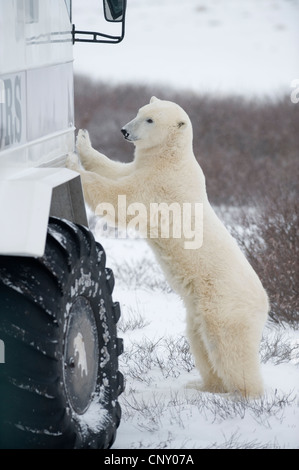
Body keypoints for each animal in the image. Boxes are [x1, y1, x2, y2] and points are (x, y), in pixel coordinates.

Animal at [67, 97, 270, 398]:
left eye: (150, 120)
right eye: (140, 112)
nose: (125, 131)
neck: (172, 158)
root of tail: (265, 304)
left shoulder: (160, 187)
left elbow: (119, 199)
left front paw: (72, 164)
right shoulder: (144, 169)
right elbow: (116, 168)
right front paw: (83, 141)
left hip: (226, 307)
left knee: (229, 348)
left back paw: (244, 394)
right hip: (198, 310)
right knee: (200, 343)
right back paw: (204, 386)